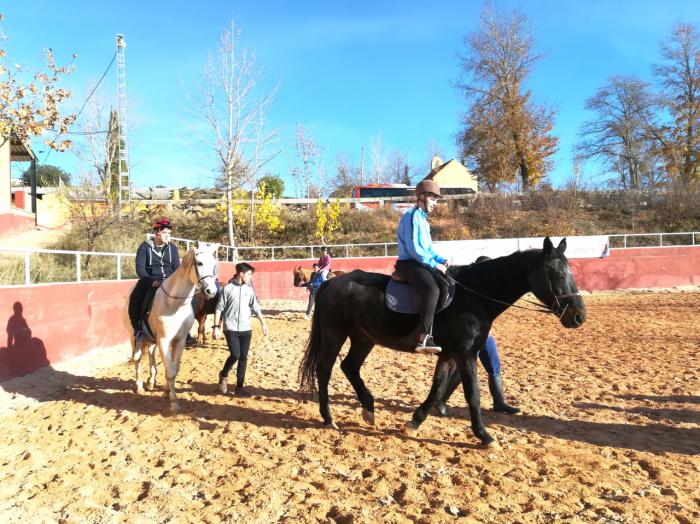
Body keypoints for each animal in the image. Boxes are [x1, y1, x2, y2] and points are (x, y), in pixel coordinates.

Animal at [123, 243, 219, 414]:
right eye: (199, 263)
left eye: (214, 264)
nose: (211, 291)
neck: (174, 304)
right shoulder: (164, 341)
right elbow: (170, 371)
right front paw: (174, 403)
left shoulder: (179, 340)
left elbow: (174, 368)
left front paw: (166, 392)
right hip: (134, 337)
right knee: (137, 359)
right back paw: (139, 386)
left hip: (152, 341)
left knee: (151, 356)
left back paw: (151, 381)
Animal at [298, 237, 588, 446]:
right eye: (557, 275)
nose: (578, 316)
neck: (475, 297)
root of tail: (332, 282)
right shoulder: (465, 354)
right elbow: (473, 394)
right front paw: (484, 436)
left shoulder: (449, 355)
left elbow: (437, 389)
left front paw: (414, 423)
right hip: (335, 333)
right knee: (325, 370)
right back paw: (328, 418)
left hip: (363, 337)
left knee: (350, 366)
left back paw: (369, 409)